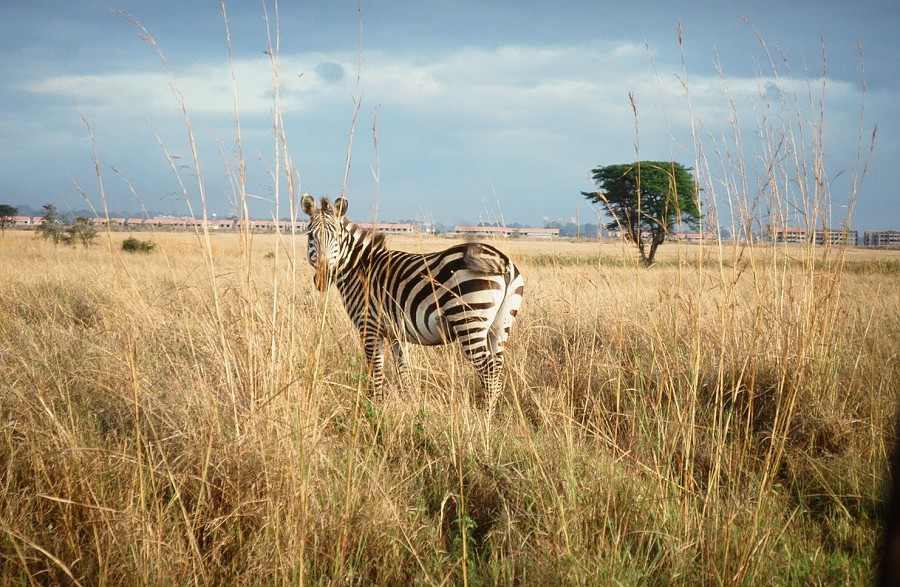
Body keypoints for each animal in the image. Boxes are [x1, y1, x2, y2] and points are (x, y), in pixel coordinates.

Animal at [304, 195, 528, 406]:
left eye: (336, 236)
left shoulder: (369, 326)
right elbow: (402, 368)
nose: (323, 277)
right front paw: (407, 402)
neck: (360, 267)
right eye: (310, 236)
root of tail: (503, 260)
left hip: (469, 320)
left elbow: (375, 370)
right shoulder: (395, 331)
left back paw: (485, 416)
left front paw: (376, 407)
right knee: (497, 367)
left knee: (488, 369)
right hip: (501, 325)